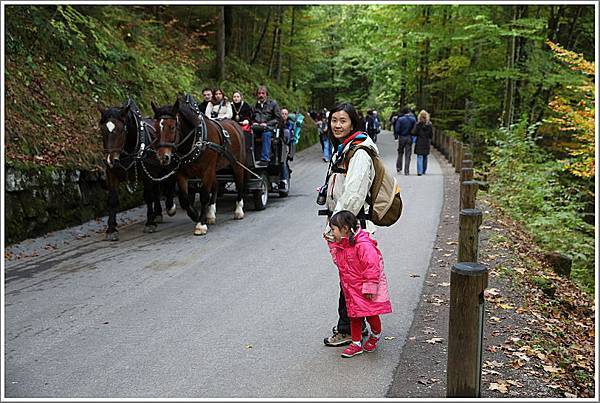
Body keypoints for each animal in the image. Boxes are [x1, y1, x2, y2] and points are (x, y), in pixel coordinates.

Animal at [152, 93, 246, 235]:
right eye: (156, 129)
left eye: (172, 127)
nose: (163, 157)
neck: (196, 139)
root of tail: (234, 124)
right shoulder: (182, 173)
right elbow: (184, 199)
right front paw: (195, 215)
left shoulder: (207, 170)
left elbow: (204, 196)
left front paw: (201, 224)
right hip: (215, 168)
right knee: (216, 186)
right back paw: (211, 214)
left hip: (236, 163)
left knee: (239, 183)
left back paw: (239, 210)